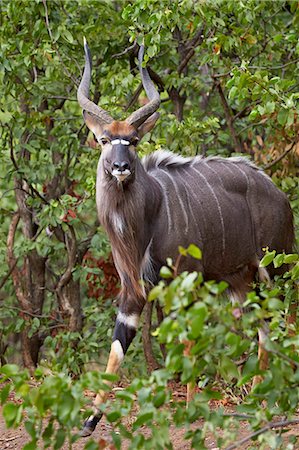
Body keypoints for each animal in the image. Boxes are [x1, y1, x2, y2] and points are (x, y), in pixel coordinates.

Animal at [77, 39, 296, 436]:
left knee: (284, 317)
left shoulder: (185, 279)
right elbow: (118, 347)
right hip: (241, 281)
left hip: (275, 268)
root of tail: (279, 194)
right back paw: (258, 395)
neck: (148, 216)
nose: (121, 167)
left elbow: (188, 340)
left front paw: (193, 407)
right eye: (104, 139)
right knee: (262, 328)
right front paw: (89, 420)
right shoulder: (134, 289)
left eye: (133, 140)